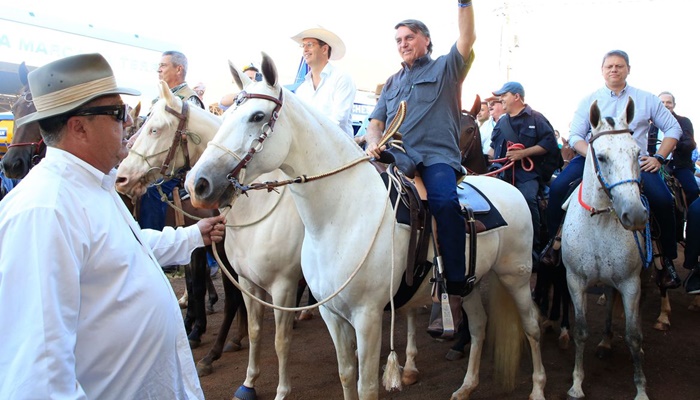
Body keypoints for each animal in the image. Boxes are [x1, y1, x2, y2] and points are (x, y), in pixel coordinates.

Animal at [115, 79, 304, 398]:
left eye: (154, 129)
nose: (122, 178)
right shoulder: (226, 260)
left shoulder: (281, 282)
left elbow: (216, 294)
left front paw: (207, 344)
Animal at [183, 54, 544, 400]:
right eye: (227, 113)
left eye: (257, 116)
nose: (197, 184)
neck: (341, 216)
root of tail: (507, 187)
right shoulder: (332, 314)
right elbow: (346, 376)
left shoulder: (365, 316)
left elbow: (366, 385)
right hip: (469, 282)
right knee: (480, 326)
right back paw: (466, 387)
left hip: (516, 276)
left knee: (531, 326)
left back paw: (538, 389)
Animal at [560, 97, 648, 400]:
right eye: (603, 157)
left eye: (637, 153)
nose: (635, 215)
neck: (599, 221)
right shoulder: (574, 280)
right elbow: (581, 331)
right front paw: (576, 384)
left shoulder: (631, 283)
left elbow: (633, 336)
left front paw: (641, 388)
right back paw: (606, 342)